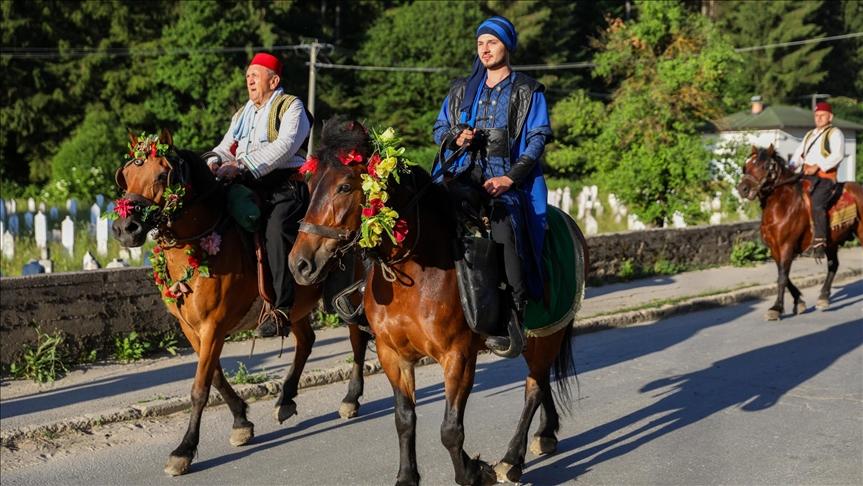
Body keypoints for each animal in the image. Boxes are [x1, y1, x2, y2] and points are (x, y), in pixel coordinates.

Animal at [110, 131, 368, 476]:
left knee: (357, 338)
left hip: (348, 294)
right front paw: (241, 420)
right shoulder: (192, 328)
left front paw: (184, 450)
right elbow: (215, 377)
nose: (125, 229)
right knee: (306, 340)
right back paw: (286, 398)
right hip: (295, 306)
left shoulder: (213, 326)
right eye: (125, 176)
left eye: (163, 175)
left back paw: (351, 398)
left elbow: (200, 388)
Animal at [288, 119, 580, 484]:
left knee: (535, 387)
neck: (416, 272)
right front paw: (407, 476)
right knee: (540, 380)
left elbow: (450, 430)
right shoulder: (392, 354)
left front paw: (471, 472)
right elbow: (404, 419)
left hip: (549, 333)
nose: (299, 264)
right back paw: (545, 433)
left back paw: (512, 459)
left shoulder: (458, 356)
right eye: (310, 184)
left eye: (344, 187)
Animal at [736, 144, 863, 318]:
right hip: (831, 242)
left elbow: (782, 277)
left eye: (764, 166)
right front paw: (799, 302)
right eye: (746, 166)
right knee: (833, 265)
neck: (781, 204)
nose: (743, 189)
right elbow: (783, 275)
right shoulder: (775, 248)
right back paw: (823, 297)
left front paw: (776, 308)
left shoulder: (786, 246)